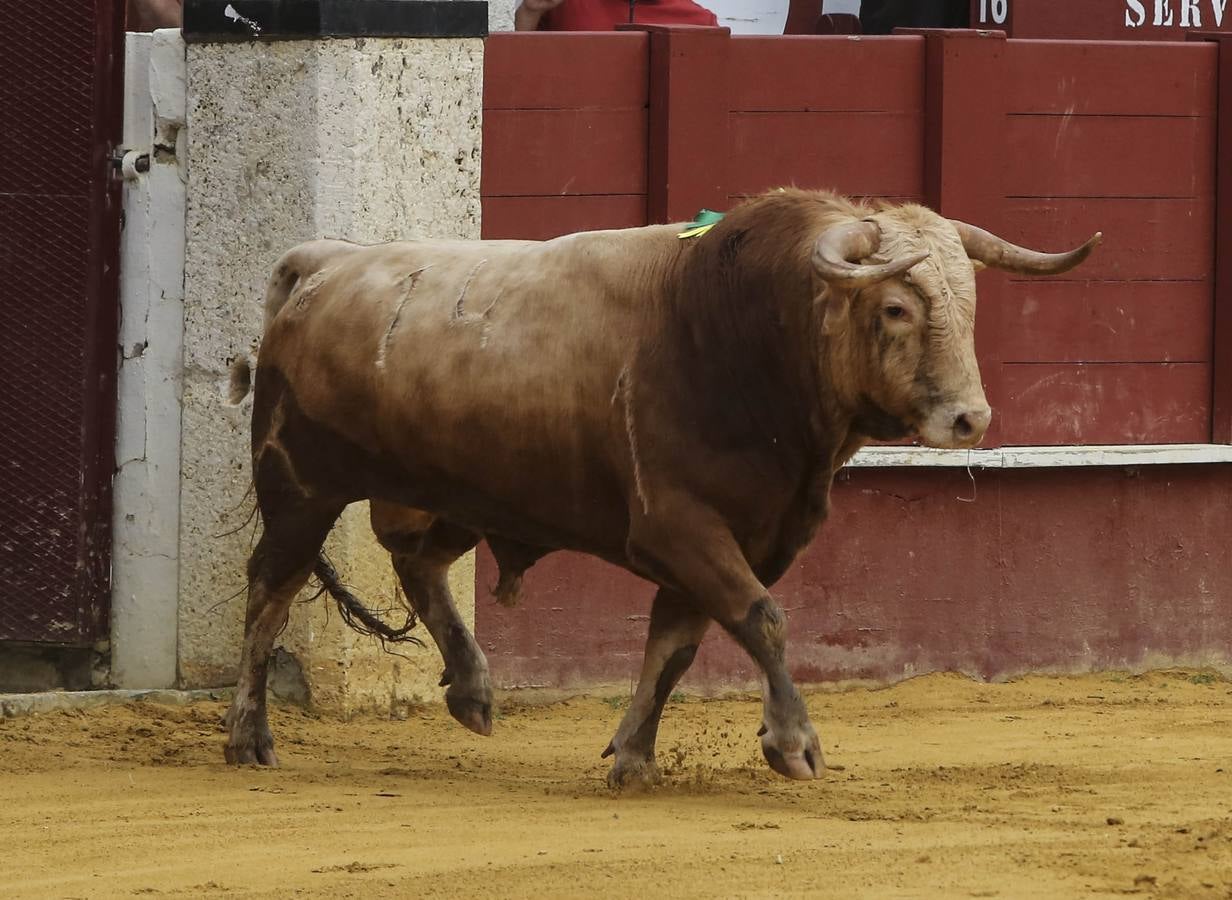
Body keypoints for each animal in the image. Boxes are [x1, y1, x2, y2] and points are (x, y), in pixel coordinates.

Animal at [221, 189, 1098, 787]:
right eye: (894, 308)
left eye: (971, 305)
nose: (968, 418)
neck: (740, 332)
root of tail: (320, 263)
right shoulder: (681, 527)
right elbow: (762, 621)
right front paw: (793, 744)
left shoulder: (741, 538)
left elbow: (676, 645)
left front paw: (633, 756)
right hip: (300, 488)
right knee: (270, 592)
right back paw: (247, 737)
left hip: (459, 488)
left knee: (418, 562)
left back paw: (471, 691)